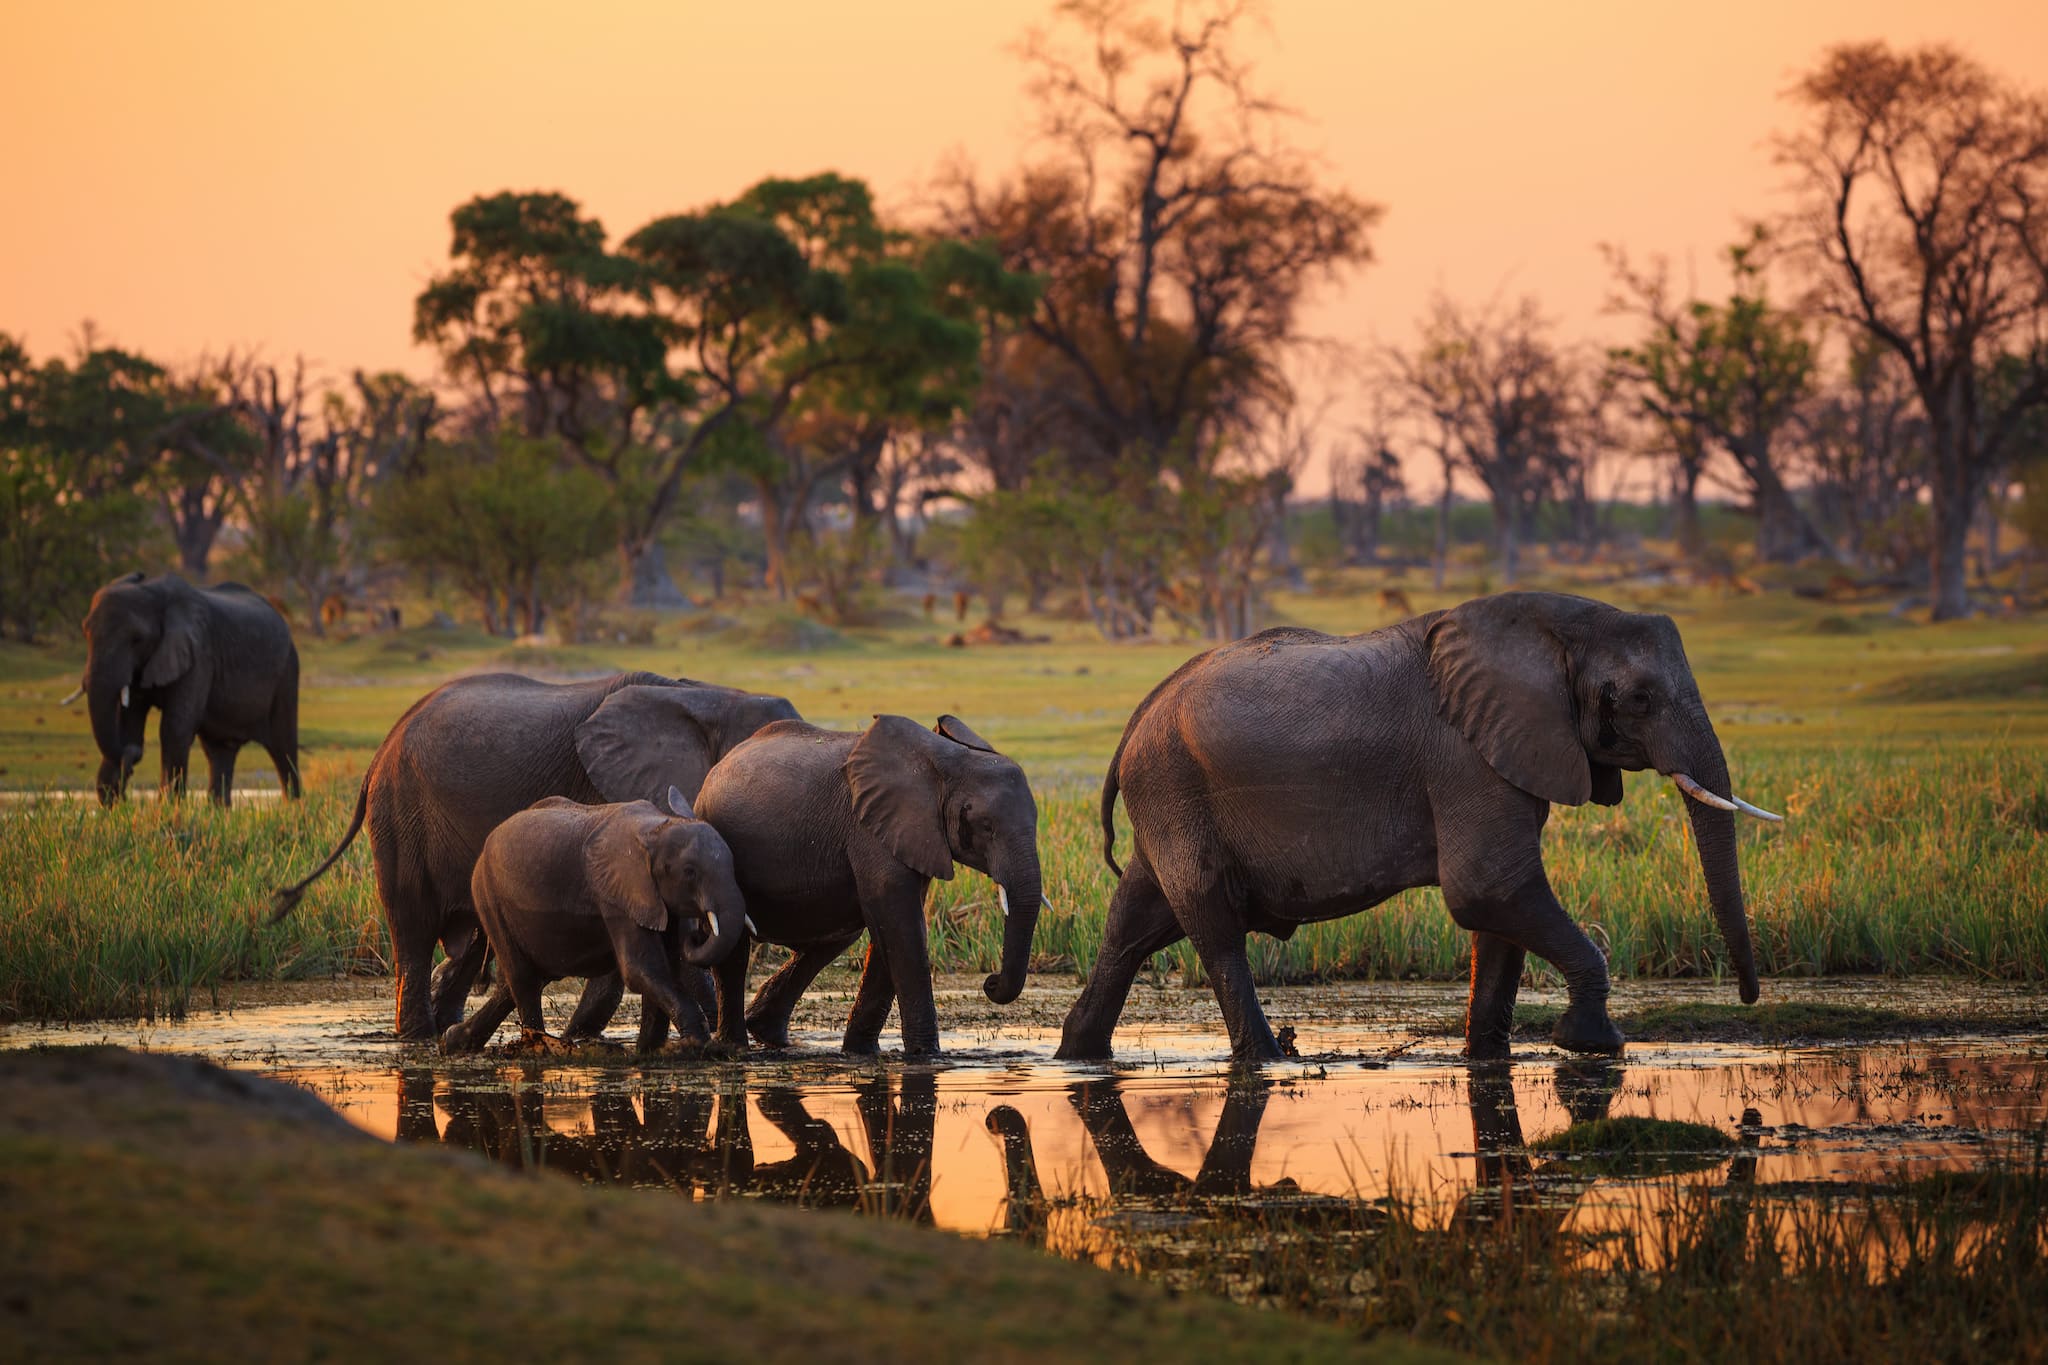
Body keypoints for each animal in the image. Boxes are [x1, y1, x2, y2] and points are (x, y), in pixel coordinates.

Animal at [69, 573, 299, 806]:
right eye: (86, 633)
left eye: (137, 639)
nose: (134, 756)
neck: (154, 591)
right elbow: (128, 724)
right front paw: (114, 805)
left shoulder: (199, 655)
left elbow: (175, 728)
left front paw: (168, 808)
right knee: (220, 751)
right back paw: (218, 811)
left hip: (287, 672)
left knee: (283, 749)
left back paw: (293, 808)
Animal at [440, 789, 753, 1055]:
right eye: (690, 872)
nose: (699, 931)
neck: (657, 828)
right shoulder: (616, 896)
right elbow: (641, 968)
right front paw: (692, 1045)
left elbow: (665, 967)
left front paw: (650, 1051)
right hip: (488, 896)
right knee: (523, 978)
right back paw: (536, 1046)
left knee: (524, 980)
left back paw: (453, 1042)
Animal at [696, 716, 1048, 1055]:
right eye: (986, 826)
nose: (990, 982)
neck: (946, 762)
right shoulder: (870, 827)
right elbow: (901, 925)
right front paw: (927, 1055)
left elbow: (891, 928)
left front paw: (862, 1052)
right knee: (734, 945)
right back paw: (734, 1047)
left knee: (834, 938)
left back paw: (768, 1034)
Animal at [1056, 593, 1777, 1064]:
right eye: (1638, 699)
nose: (1748, 996)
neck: (1552, 628)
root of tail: (1139, 714)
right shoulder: (1464, 755)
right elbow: (1488, 887)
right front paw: (1592, 1044)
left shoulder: (1509, 750)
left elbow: (1498, 911)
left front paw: (1487, 1057)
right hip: (1174, 788)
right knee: (1214, 927)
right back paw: (1270, 1059)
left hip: (1167, 798)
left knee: (1135, 922)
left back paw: (1078, 1054)